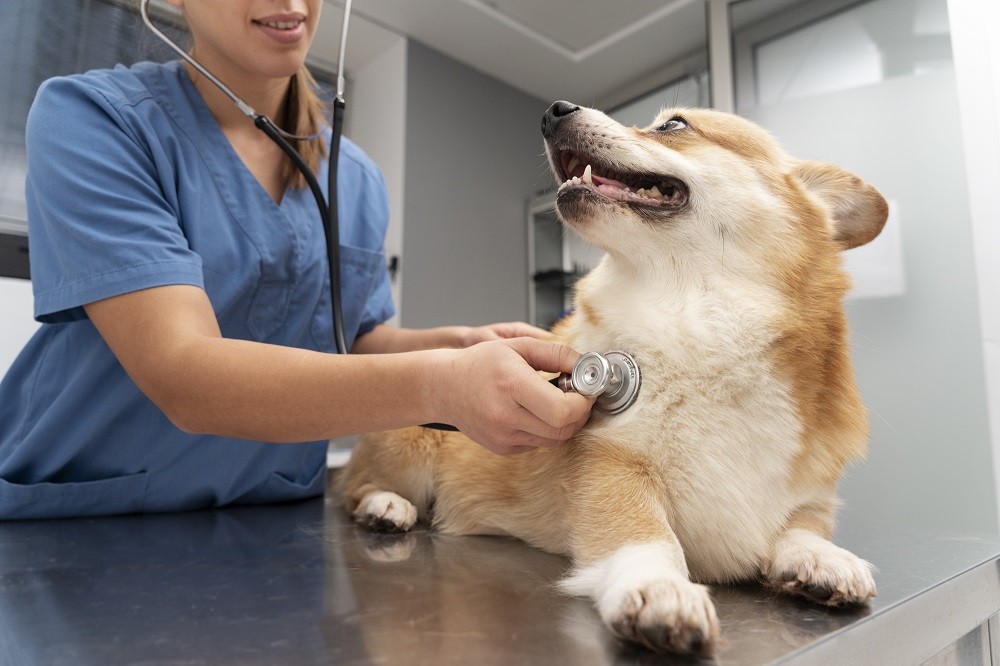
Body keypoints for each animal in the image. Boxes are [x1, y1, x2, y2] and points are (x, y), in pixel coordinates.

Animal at [340, 101, 888, 652]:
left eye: (674, 124)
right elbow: (642, 531)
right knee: (353, 488)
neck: (701, 322)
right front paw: (659, 589)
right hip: (410, 441)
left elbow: (802, 525)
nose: (553, 110)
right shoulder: (612, 461)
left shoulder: (813, 492)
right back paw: (387, 507)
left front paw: (821, 558)